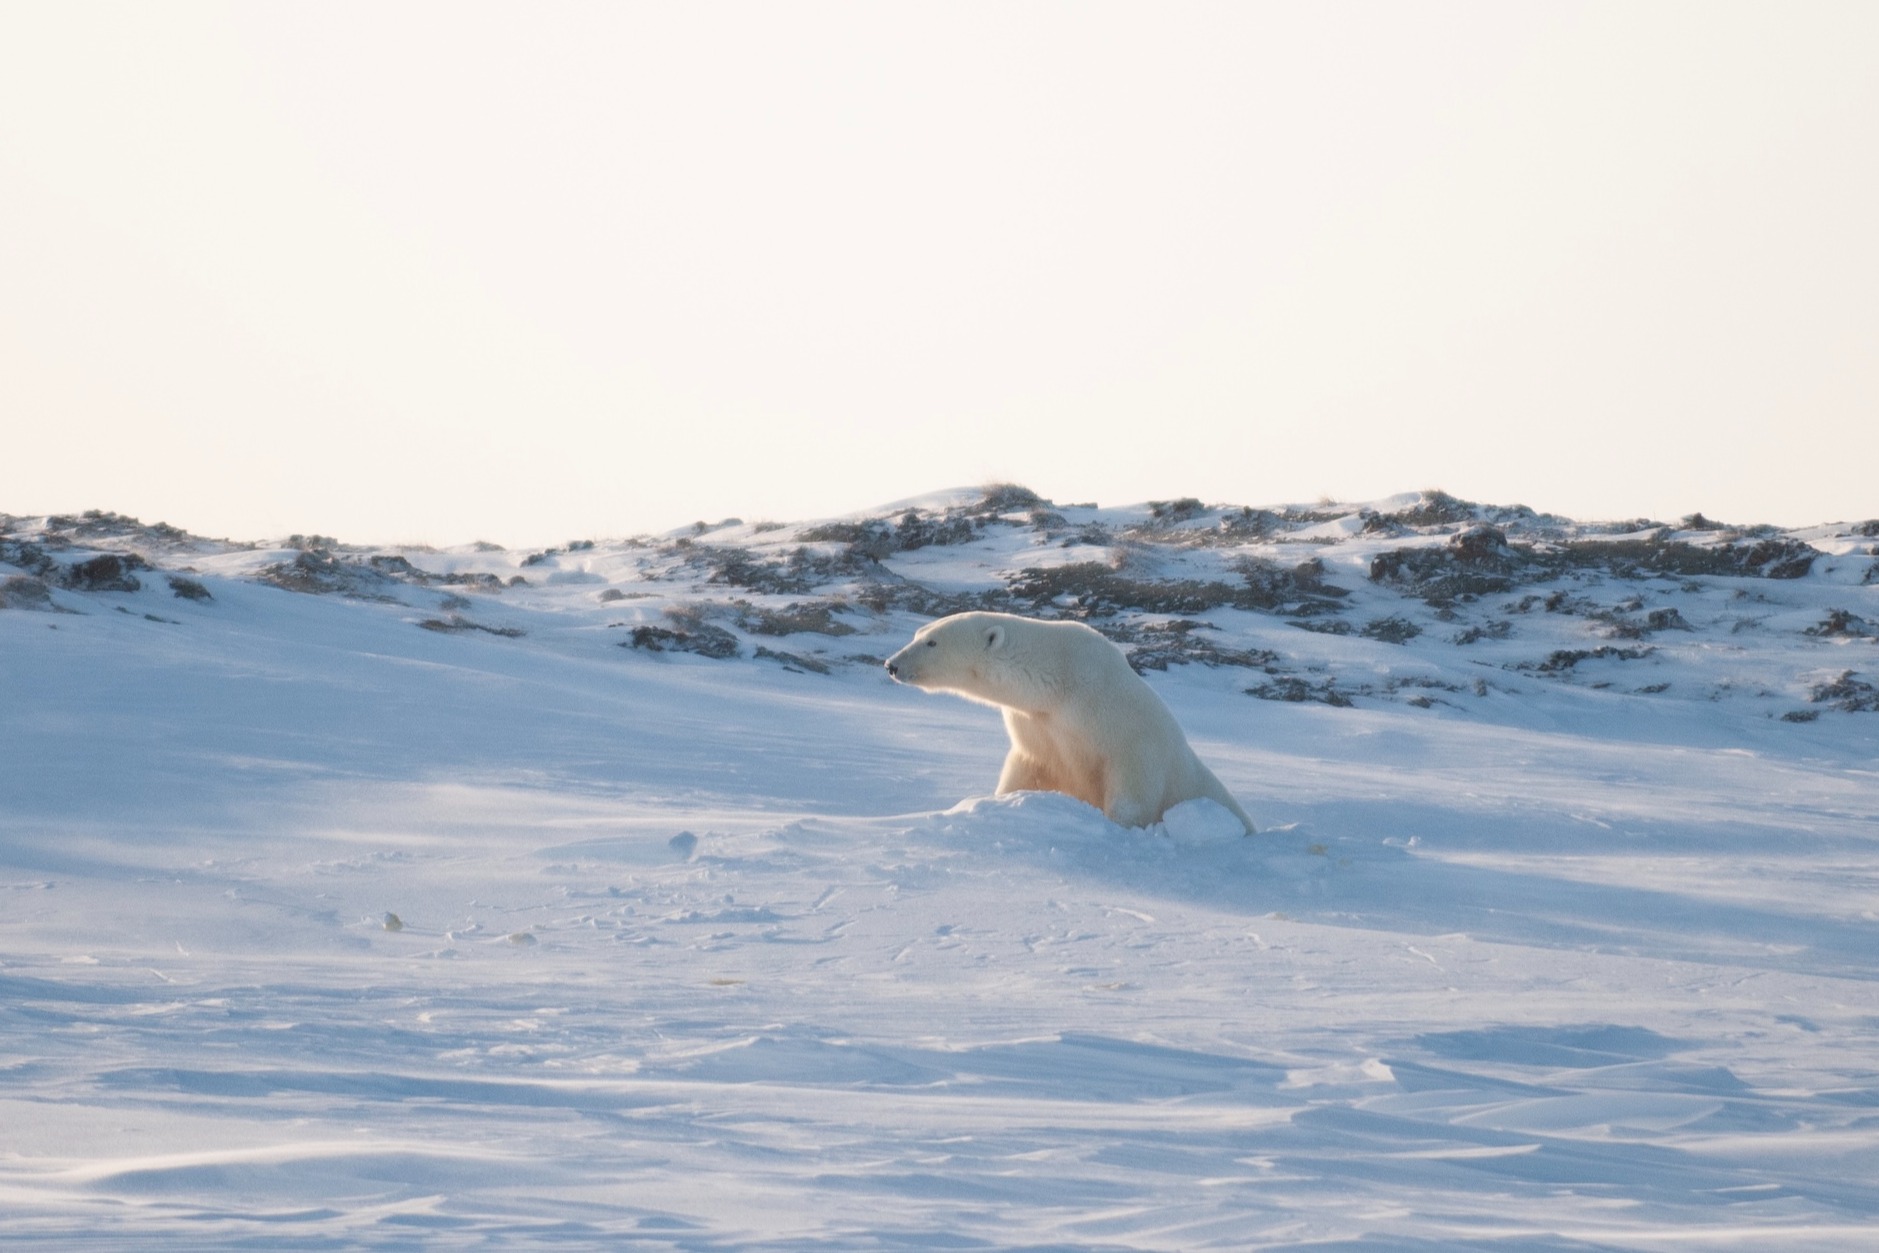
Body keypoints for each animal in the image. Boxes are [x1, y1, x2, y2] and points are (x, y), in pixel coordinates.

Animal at [885, 611, 1255, 833]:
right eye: (918, 633)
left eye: (932, 641)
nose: (892, 664)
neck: (1060, 684)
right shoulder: (1038, 727)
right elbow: (1026, 770)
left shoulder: (1125, 727)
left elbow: (1132, 788)